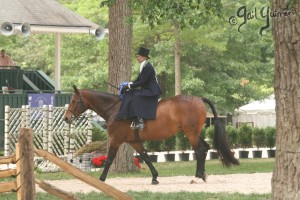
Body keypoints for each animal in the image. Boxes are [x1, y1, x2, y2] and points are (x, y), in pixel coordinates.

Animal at [63, 85, 239, 185]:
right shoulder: (134, 141)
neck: (115, 109)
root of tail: (198, 99)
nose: (66, 118)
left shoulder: (116, 139)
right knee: (205, 148)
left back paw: (196, 177)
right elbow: (146, 157)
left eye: (73, 101)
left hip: (191, 133)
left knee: (200, 150)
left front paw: (100, 179)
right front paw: (155, 177)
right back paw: (202, 175)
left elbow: (109, 159)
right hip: (193, 132)